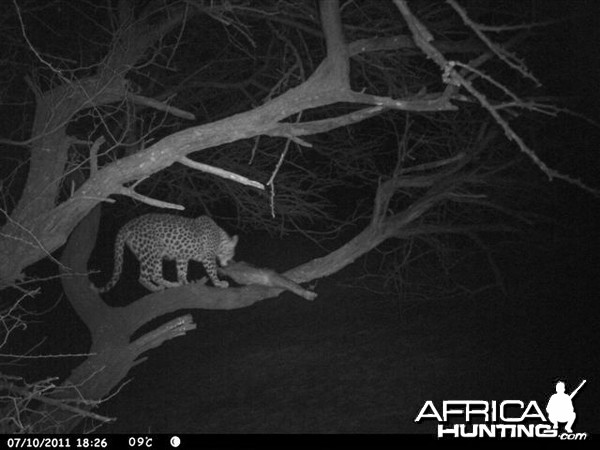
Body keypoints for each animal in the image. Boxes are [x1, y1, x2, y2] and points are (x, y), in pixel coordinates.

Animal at [91, 214, 237, 294]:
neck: (220, 238)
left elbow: (182, 271)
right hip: (148, 252)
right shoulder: (208, 257)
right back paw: (155, 289)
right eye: (231, 254)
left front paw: (184, 282)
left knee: (155, 275)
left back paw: (171, 284)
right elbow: (212, 271)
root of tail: (129, 223)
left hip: (156, 255)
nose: (227, 263)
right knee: (143, 277)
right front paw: (219, 283)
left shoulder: (181, 256)